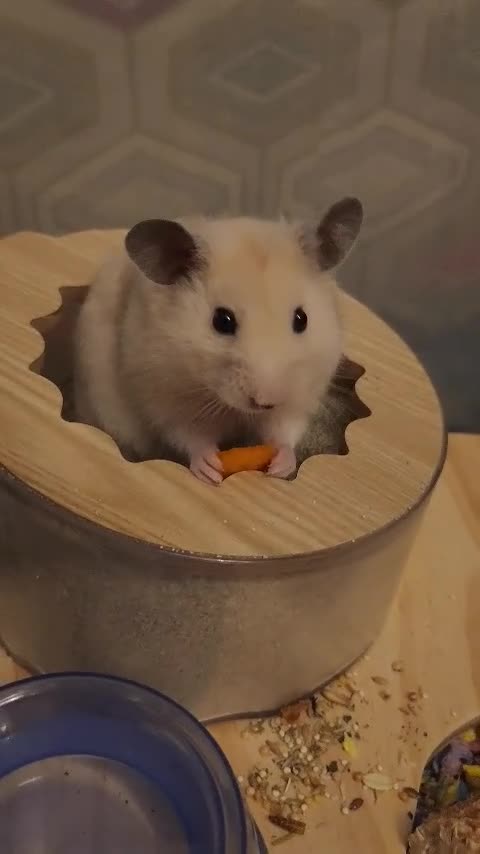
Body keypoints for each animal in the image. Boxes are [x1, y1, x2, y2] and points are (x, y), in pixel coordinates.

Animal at [74, 198, 363, 484]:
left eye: (301, 319)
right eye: (222, 321)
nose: (265, 402)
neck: (229, 406)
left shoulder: (298, 399)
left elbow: (284, 432)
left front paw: (280, 467)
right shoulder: (167, 401)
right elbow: (191, 436)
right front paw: (210, 469)